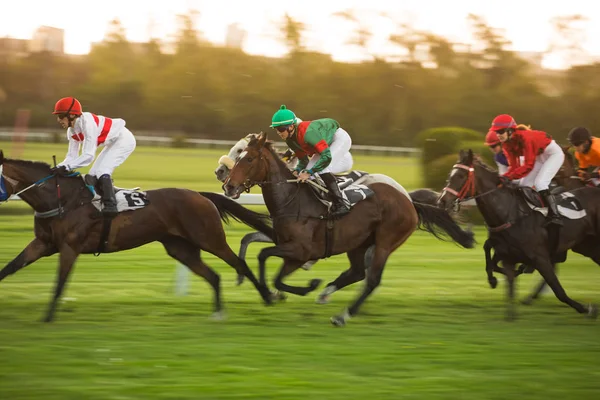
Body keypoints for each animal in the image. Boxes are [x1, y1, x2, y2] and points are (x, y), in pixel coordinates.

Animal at [0, 150, 274, 322]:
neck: (62, 199)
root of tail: (200, 194)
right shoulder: (43, 243)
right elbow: (10, 267)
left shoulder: (69, 247)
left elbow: (59, 284)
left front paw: (47, 317)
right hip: (181, 248)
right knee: (213, 276)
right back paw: (218, 312)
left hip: (210, 239)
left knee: (238, 264)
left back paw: (267, 296)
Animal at [220, 133, 474, 326]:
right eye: (239, 155)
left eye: (249, 157)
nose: (227, 184)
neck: (293, 200)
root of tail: (409, 201)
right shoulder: (290, 251)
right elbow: (267, 262)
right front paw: (277, 292)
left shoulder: (300, 251)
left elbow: (268, 262)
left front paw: (300, 288)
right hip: (358, 243)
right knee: (358, 272)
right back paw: (326, 293)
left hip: (385, 242)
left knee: (371, 280)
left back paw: (343, 315)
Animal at [438, 148, 596, 320]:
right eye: (450, 175)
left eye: (461, 176)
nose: (442, 201)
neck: (511, 213)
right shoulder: (506, 252)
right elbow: (495, 261)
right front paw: (498, 281)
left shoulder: (541, 257)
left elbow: (557, 289)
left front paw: (585, 308)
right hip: (585, 247)